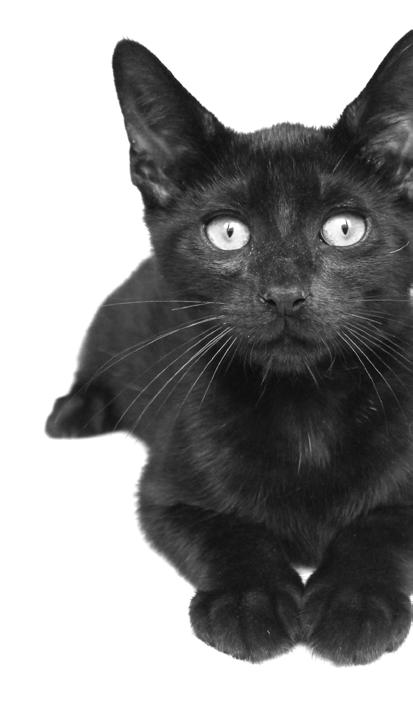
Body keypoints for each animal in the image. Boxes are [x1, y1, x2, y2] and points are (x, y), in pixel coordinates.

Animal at [46, 32, 413, 665]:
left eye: (345, 229)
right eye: (228, 233)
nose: (285, 293)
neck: (305, 411)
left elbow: (379, 526)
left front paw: (354, 603)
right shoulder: (165, 491)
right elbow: (230, 532)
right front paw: (251, 602)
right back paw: (74, 412)